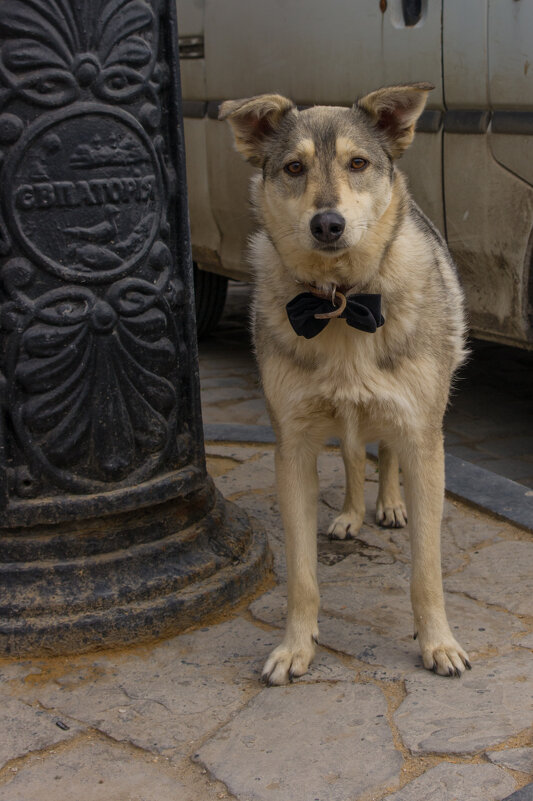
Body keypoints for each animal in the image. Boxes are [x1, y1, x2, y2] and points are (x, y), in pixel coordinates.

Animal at [219, 84, 470, 684]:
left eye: (358, 164)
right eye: (294, 167)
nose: (327, 224)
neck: (339, 303)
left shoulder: (424, 438)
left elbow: (426, 571)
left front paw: (438, 642)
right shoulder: (293, 447)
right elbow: (302, 577)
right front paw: (296, 646)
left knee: (384, 454)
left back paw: (389, 506)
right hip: (342, 420)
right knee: (356, 456)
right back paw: (353, 513)